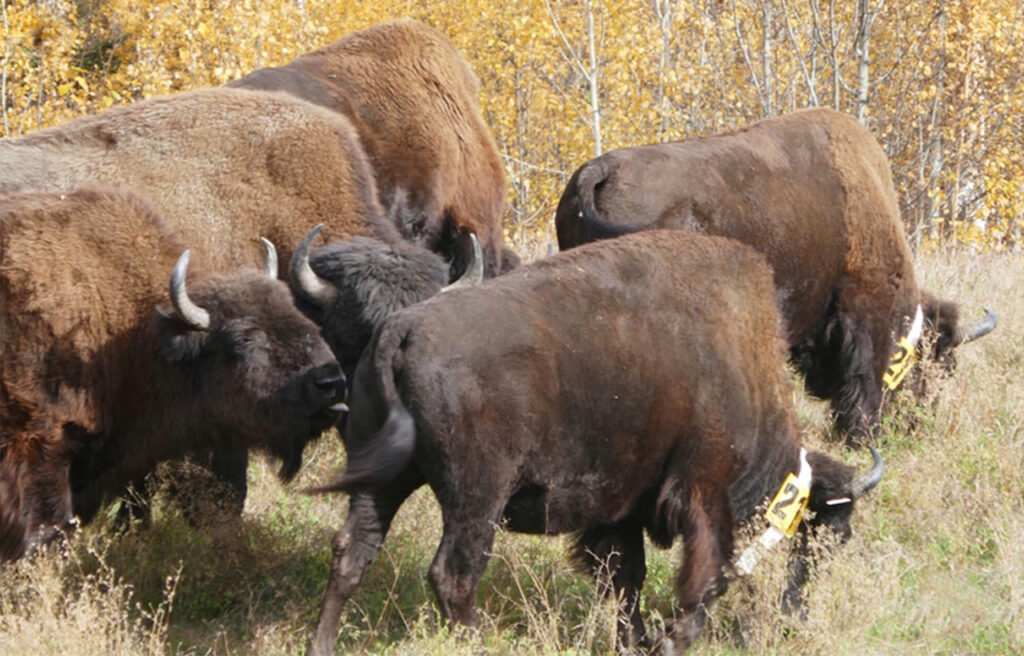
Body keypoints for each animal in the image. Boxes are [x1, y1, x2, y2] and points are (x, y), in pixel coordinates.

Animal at [301, 229, 880, 650]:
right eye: (825, 534)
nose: (794, 619)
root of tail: (399, 331)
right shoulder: (702, 492)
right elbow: (705, 577)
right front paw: (671, 641)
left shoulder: (620, 511)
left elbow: (627, 581)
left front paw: (637, 641)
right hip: (476, 497)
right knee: (453, 576)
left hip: (384, 479)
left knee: (353, 551)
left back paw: (322, 646)